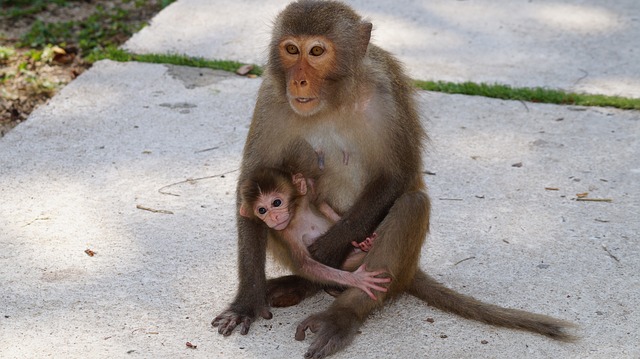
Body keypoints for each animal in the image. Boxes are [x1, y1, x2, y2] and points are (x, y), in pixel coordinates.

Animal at [241, 167, 388, 300]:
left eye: (276, 202)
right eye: (262, 210)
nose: (273, 217)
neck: (295, 217)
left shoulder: (307, 198)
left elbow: (321, 203)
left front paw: (364, 241)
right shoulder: (287, 235)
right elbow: (305, 265)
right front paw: (357, 279)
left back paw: (365, 246)